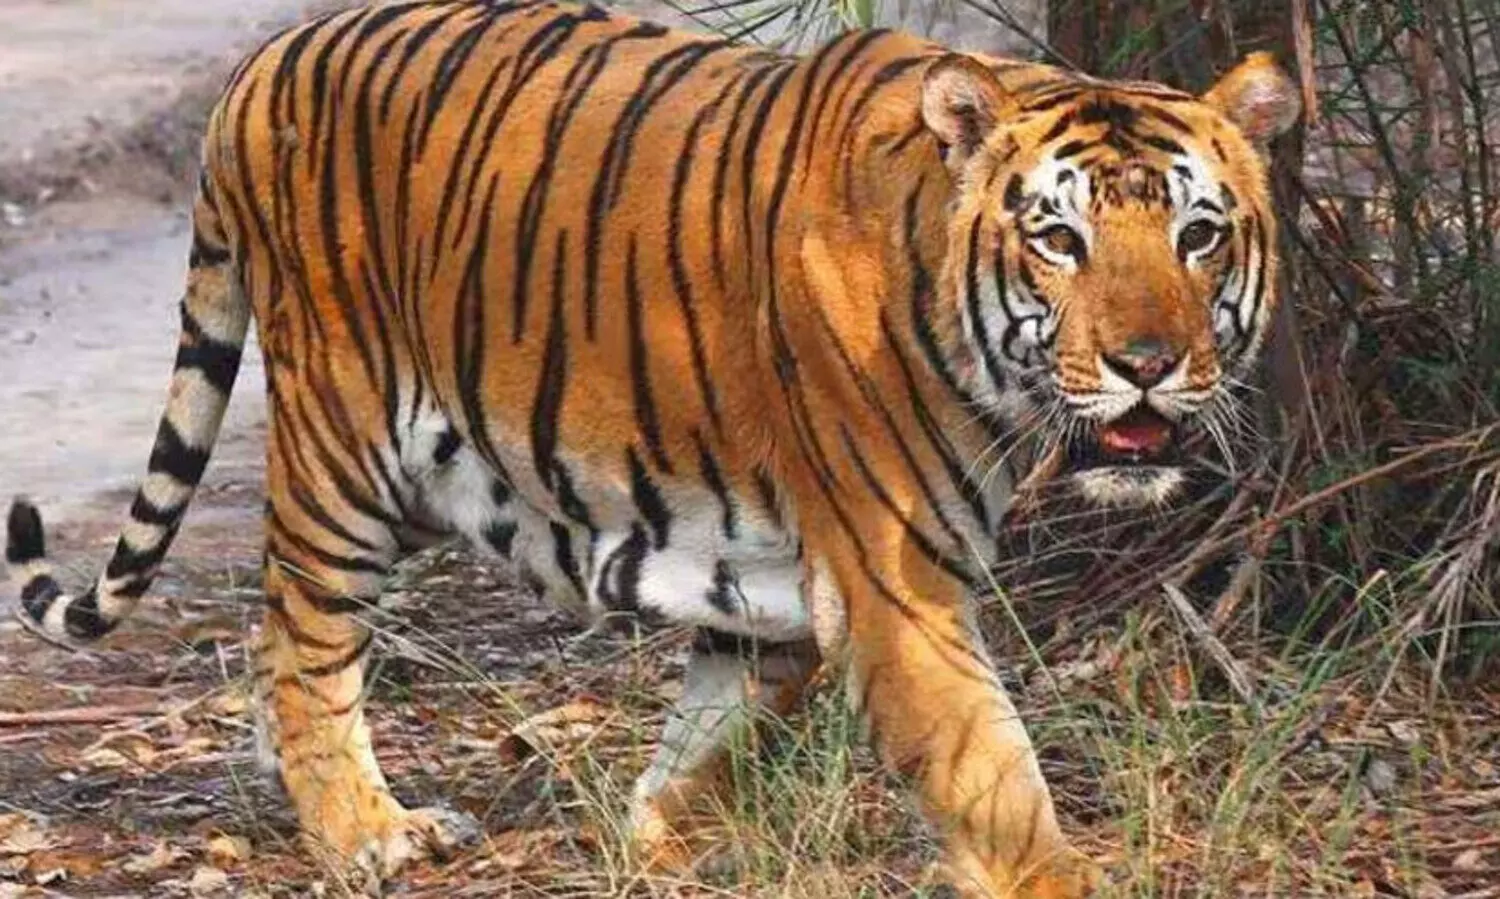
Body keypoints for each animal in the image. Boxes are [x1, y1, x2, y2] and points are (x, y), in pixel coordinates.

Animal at [4, 1, 1298, 895]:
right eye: (1058, 239)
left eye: (1199, 234)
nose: (1147, 361)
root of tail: (266, 61)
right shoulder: (898, 582)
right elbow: (993, 776)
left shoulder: (776, 568)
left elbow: (723, 717)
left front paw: (659, 831)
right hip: (346, 448)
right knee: (305, 635)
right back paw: (367, 833)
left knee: (281, 632)